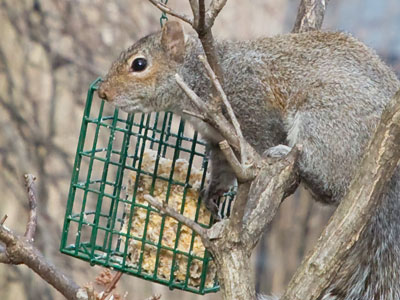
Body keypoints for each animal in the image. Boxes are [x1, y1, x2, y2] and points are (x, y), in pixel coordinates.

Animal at [97, 21, 400, 300]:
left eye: (139, 64)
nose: (103, 92)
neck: (200, 78)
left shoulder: (250, 105)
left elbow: (257, 160)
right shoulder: (219, 142)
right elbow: (222, 170)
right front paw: (212, 195)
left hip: (326, 119)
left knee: (327, 176)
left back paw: (288, 157)